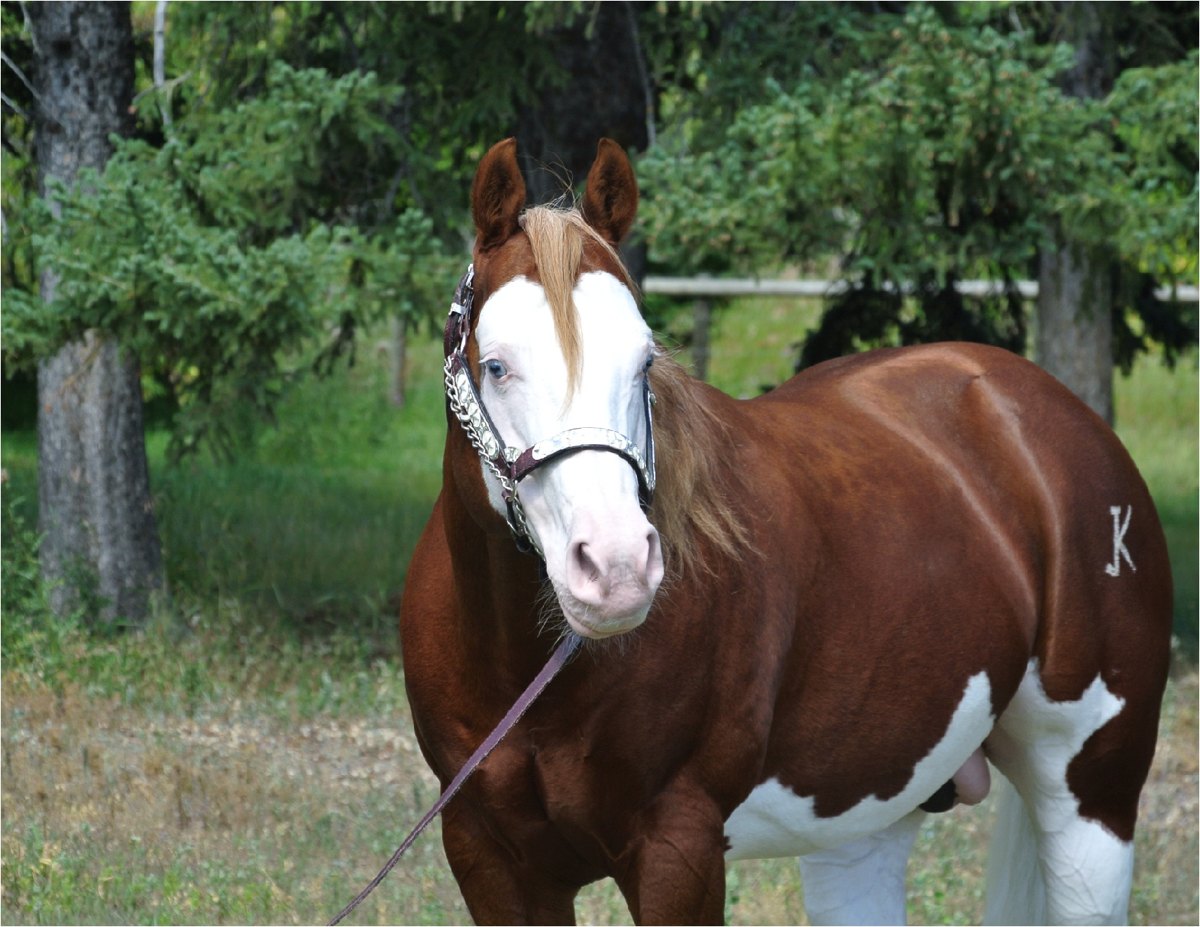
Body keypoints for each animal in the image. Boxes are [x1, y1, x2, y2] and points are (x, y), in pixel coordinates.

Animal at [399, 137, 1173, 925]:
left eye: (645, 360)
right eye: (496, 365)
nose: (616, 568)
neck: (531, 676)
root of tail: (1046, 413)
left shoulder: (678, 850)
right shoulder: (488, 854)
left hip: (1092, 802)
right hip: (867, 816)